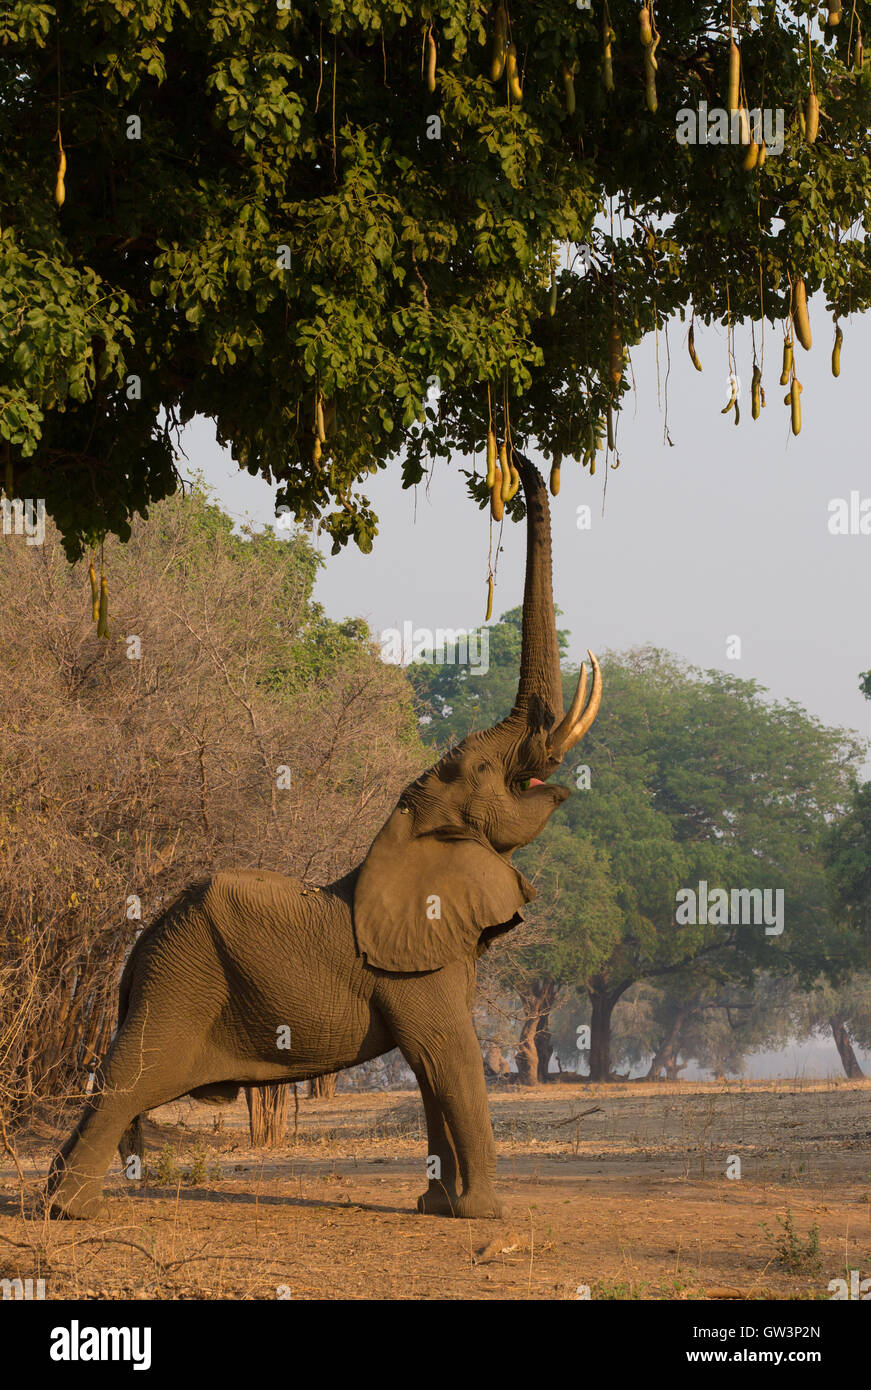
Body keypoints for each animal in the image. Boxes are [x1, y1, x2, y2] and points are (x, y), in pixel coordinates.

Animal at [47, 453, 602, 1217]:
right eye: (484, 770)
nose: (511, 462)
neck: (404, 830)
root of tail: (137, 951)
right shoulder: (414, 969)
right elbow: (448, 1056)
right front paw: (483, 1214)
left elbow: (431, 1067)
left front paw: (438, 1209)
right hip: (179, 981)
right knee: (129, 1078)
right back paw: (70, 1211)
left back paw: (53, 1201)